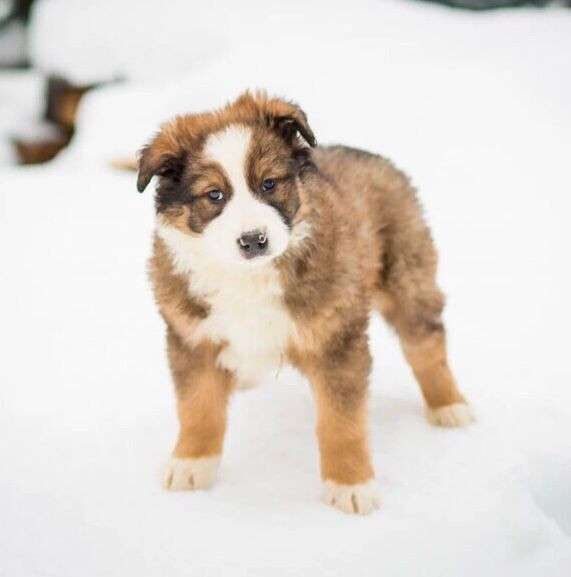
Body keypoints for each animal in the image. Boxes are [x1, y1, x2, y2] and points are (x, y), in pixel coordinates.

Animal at [139, 90, 474, 512]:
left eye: (269, 184)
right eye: (214, 195)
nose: (253, 240)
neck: (249, 277)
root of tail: (367, 154)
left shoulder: (336, 341)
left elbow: (340, 422)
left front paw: (351, 485)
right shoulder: (193, 337)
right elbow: (198, 406)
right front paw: (191, 464)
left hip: (406, 276)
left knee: (426, 343)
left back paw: (449, 405)